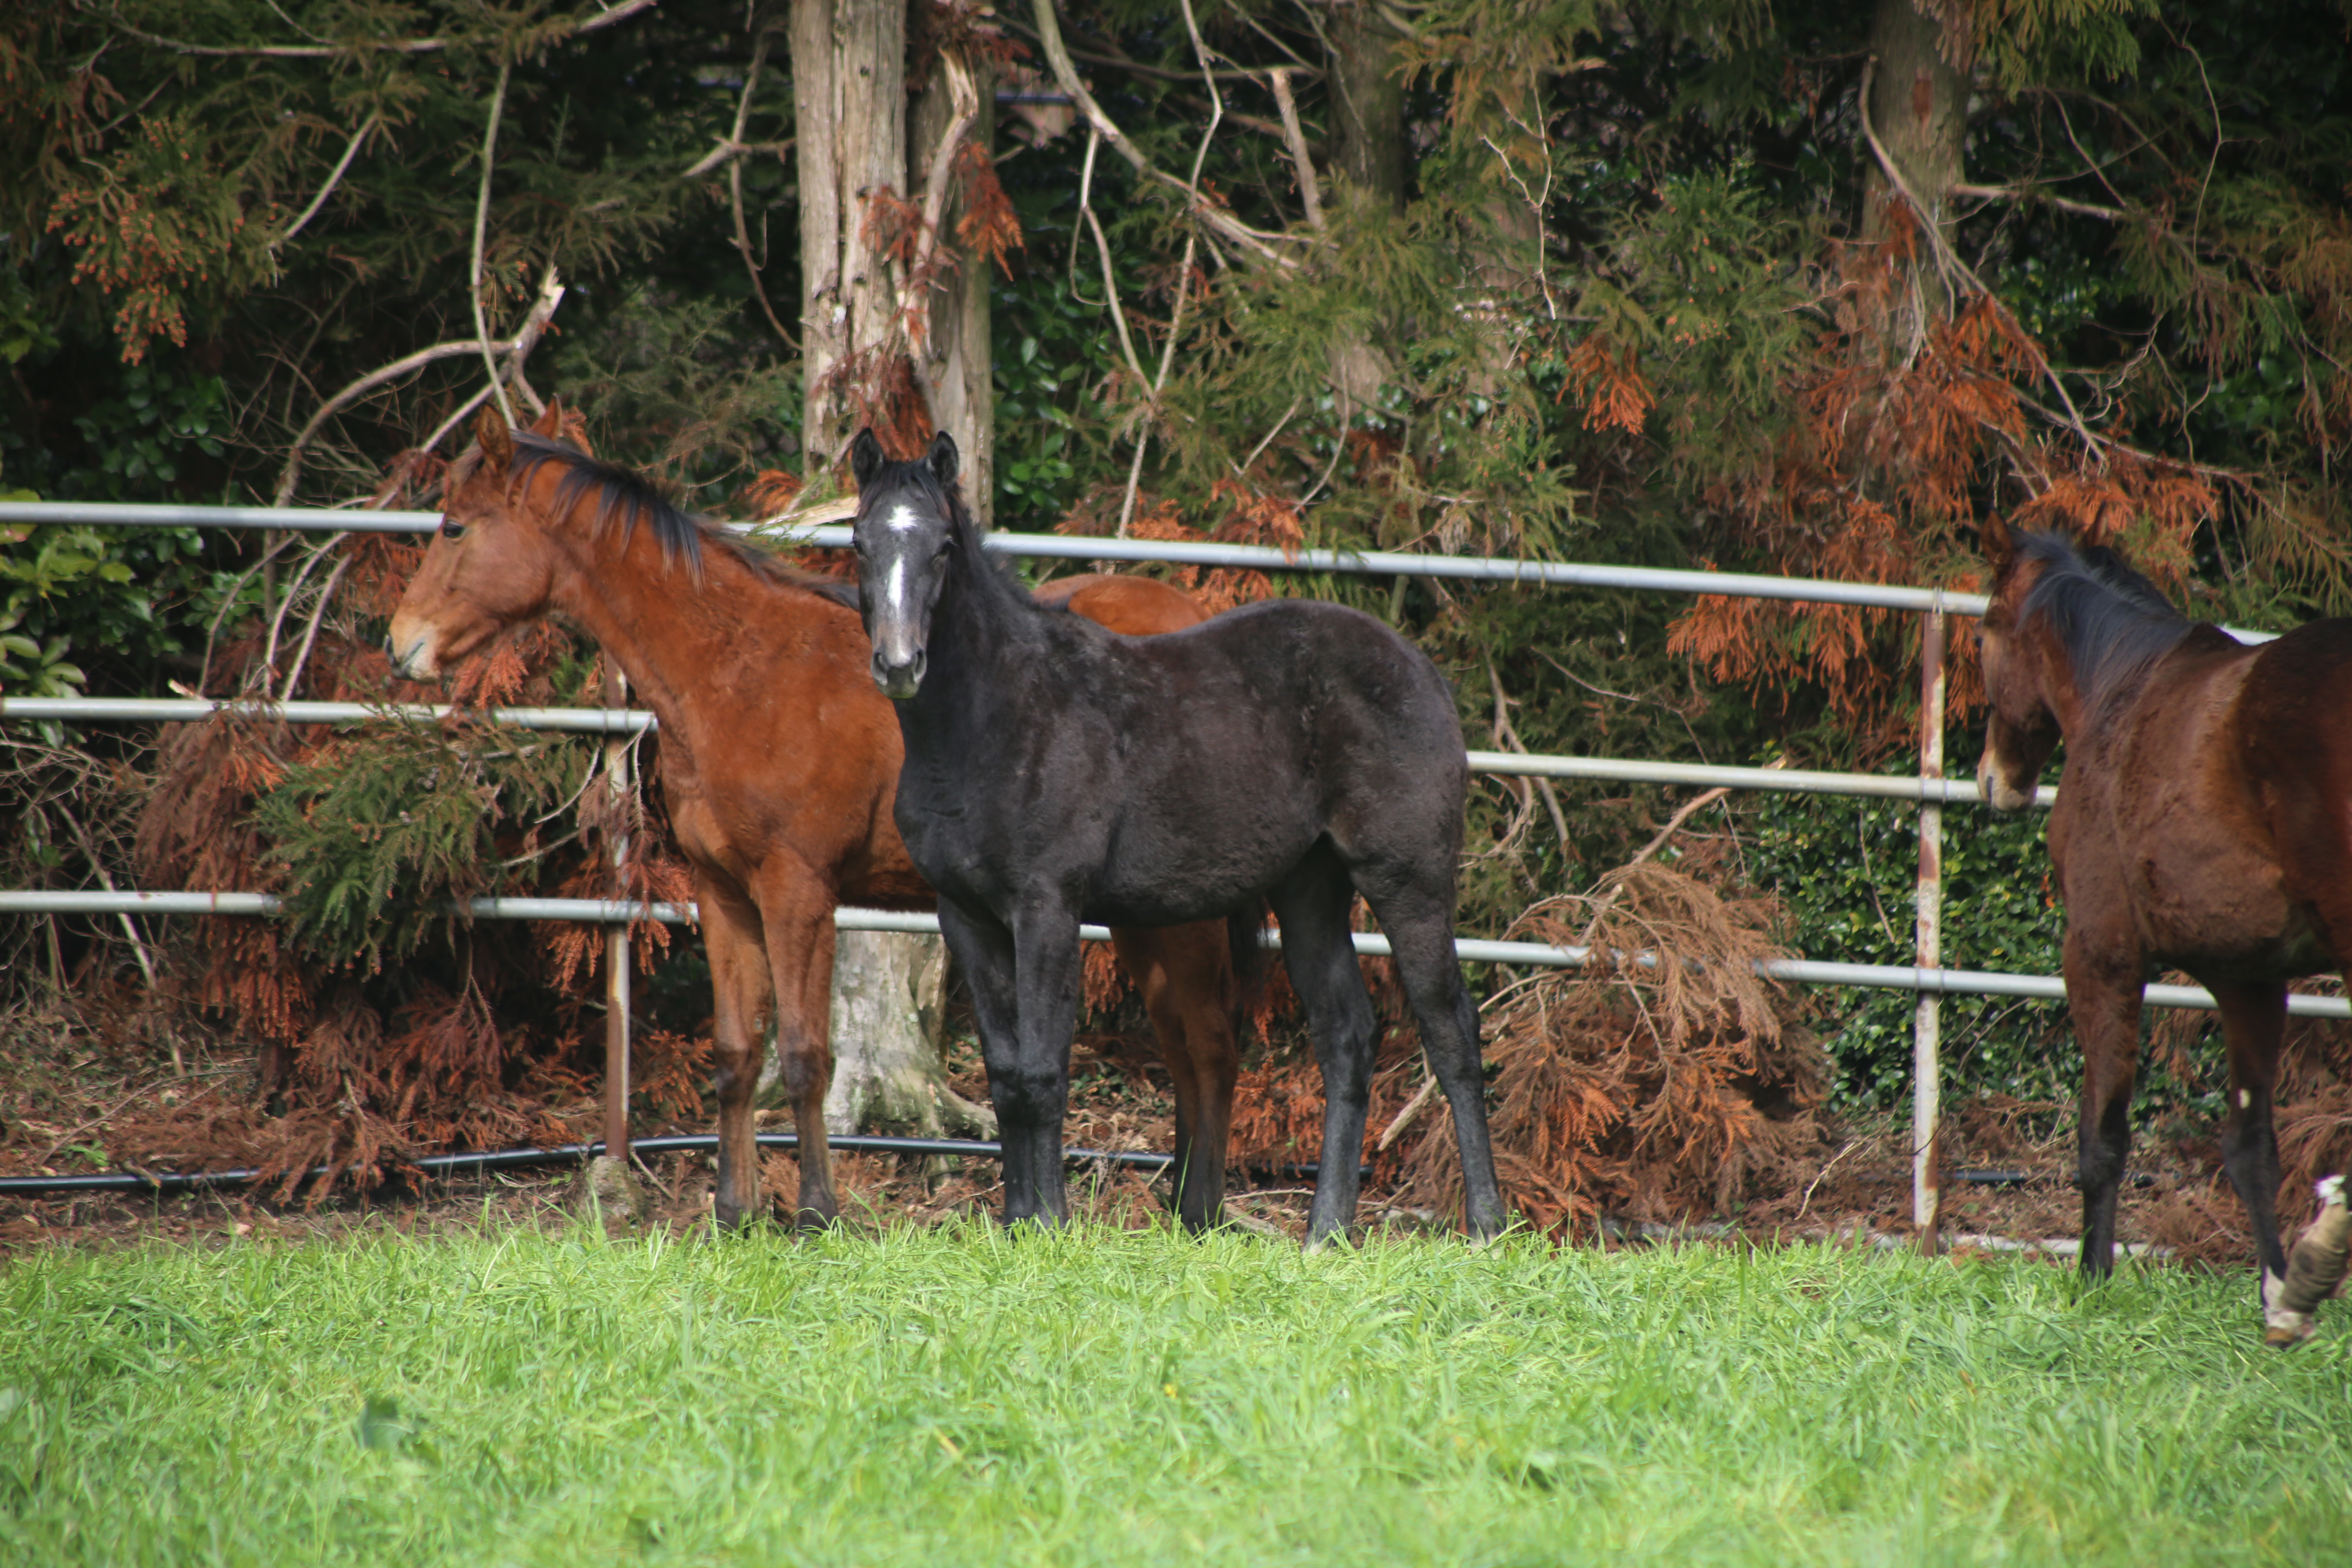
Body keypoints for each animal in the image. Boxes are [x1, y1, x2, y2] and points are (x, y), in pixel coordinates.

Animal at [381, 409, 1251, 1241]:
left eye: (455, 527)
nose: (401, 645)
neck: (738, 671)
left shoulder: (798, 891)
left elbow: (805, 1056)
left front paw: (814, 1213)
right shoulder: (724, 895)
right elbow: (738, 1055)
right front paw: (734, 1213)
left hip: (1179, 917)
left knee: (1209, 1045)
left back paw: (1202, 1213)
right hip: (1142, 915)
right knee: (1184, 1048)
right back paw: (1182, 1210)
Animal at [1985, 522, 2352, 1345]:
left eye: (1987, 627)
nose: (1996, 779)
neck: (2124, 688)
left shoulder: (2100, 957)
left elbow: (2103, 1138)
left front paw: (2092, 1280)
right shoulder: (2250, 980)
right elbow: (2250, 1148)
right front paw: (2281, 1293)